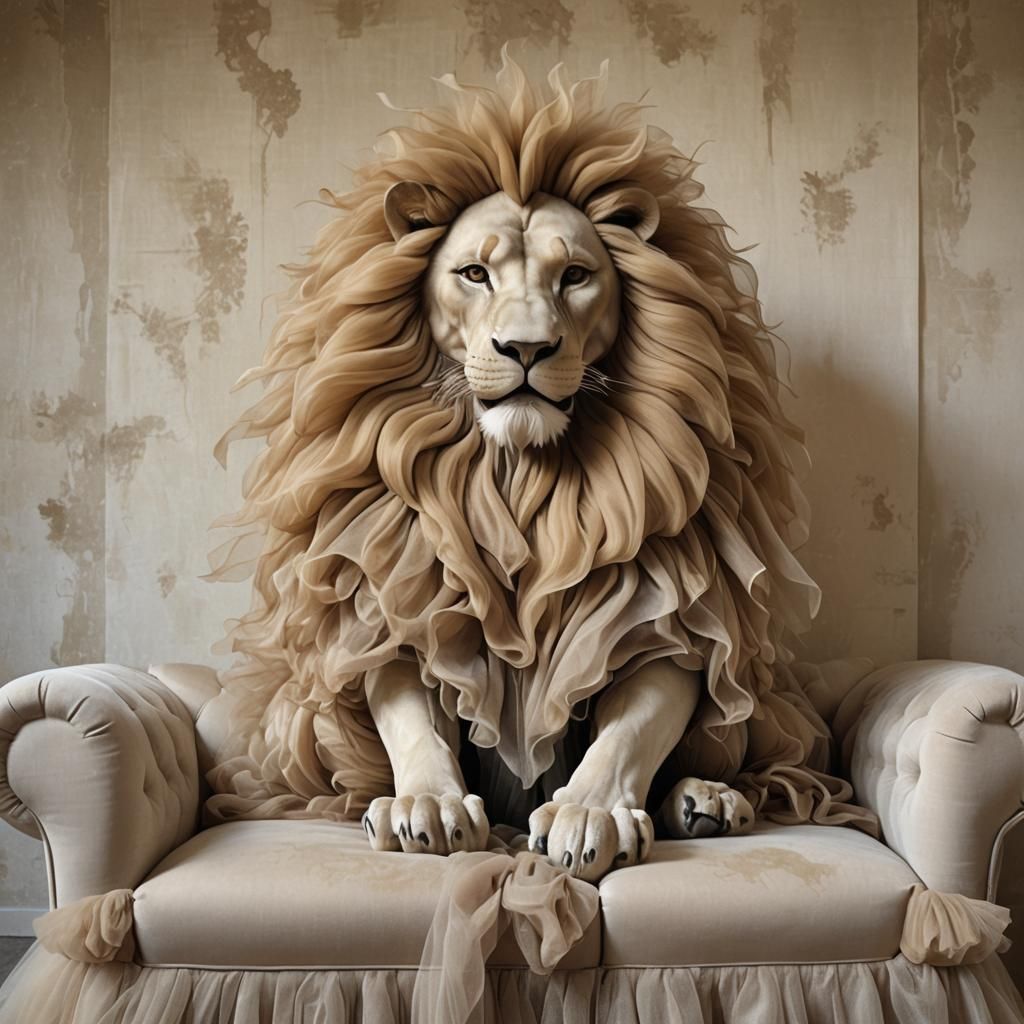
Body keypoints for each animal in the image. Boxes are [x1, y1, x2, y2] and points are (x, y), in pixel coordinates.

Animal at [205, 53, 875, 882]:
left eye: (576, 276)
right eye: (473, 274)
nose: (526, 349)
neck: (516, 470)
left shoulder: (672, 599)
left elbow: (635, 723)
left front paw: (589, 814)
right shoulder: (390, 585)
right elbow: (412, 714)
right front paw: (427, 806)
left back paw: (707, 799)